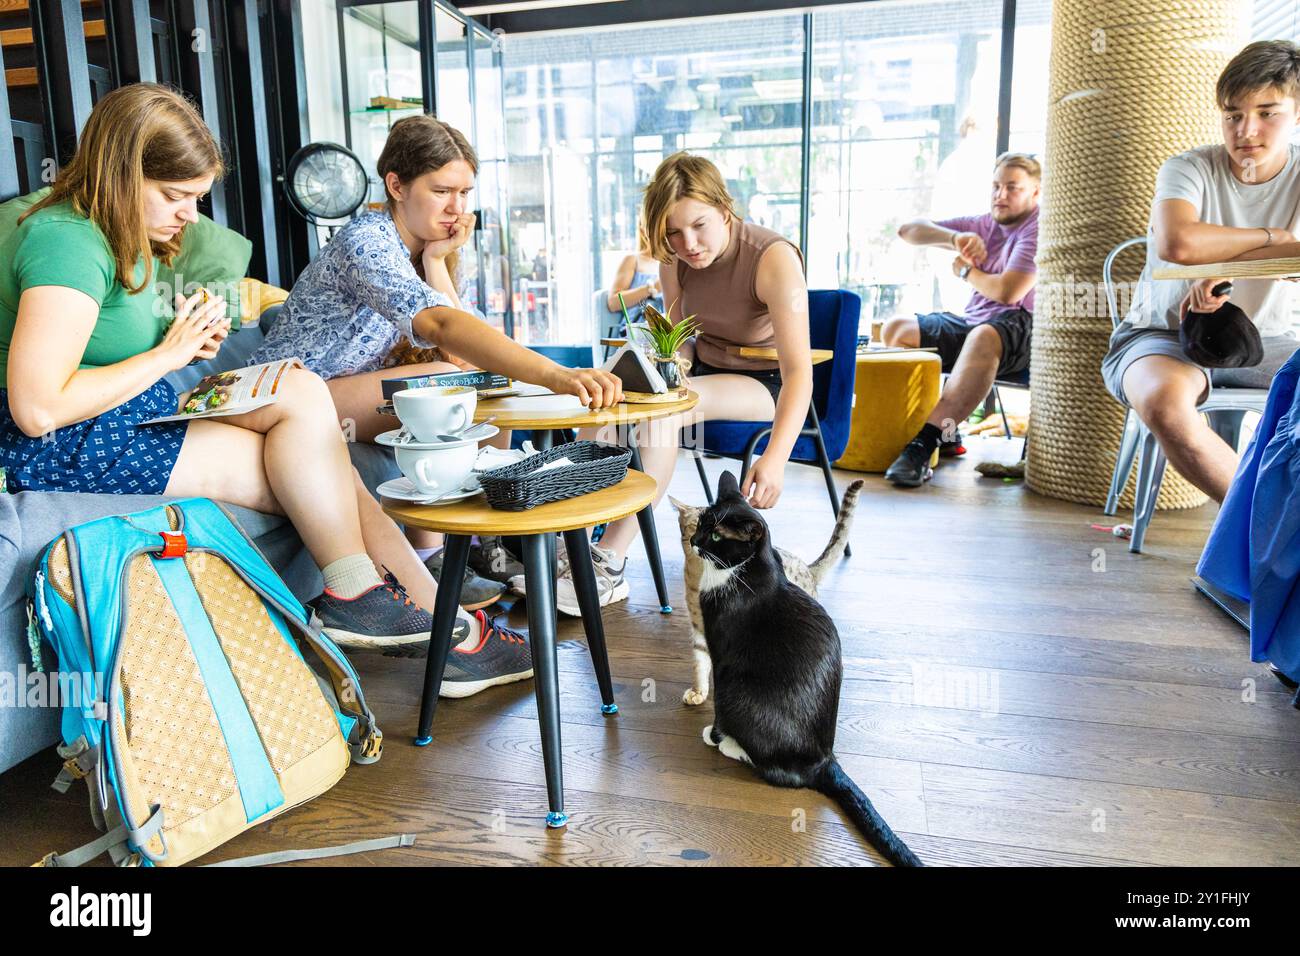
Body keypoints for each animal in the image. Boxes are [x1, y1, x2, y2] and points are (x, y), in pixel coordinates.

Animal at [670, 481, 863, 707]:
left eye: (712, 533)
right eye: (696, 525)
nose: (695, 540)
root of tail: (808, 569)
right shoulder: (699, 628)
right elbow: (699, 662)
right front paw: (698, 691)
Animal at [696, 470, 920, 868]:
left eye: (718, 536)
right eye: (699, 523)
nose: (693, 541)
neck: (747, 569)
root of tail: (824, 760)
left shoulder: (723, 656)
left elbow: (717, 698)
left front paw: (716, 735)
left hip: (739, 690)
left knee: (781, 774)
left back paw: (732, 747)